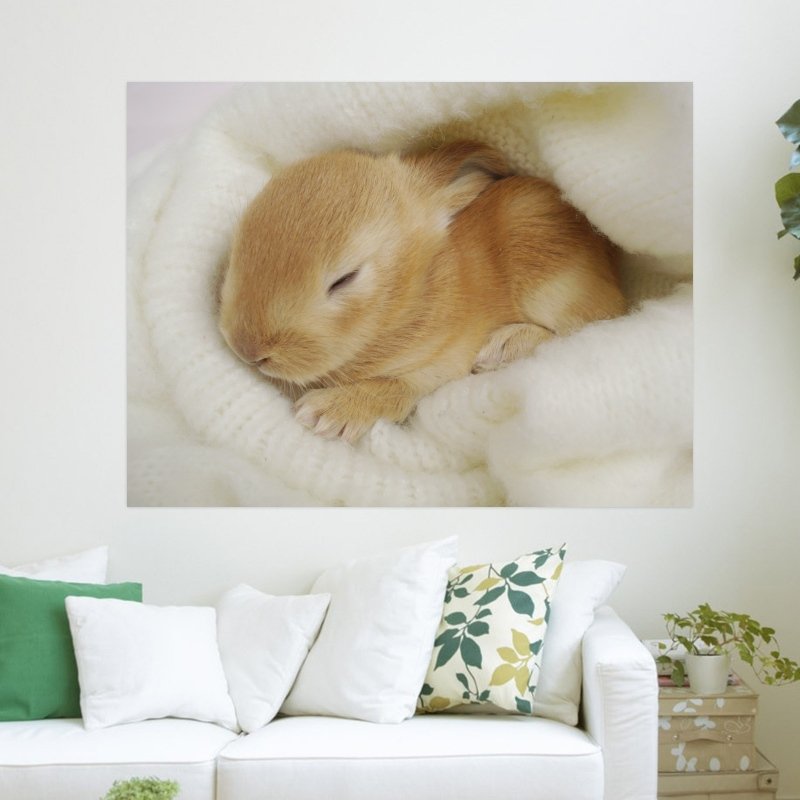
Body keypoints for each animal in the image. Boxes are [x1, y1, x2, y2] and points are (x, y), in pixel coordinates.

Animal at [218, 141, 626, 443]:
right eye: (241, 240)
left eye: (344, 279)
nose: (247, 349)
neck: (409, 295)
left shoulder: (438, 365)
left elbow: (392, 388)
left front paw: (323, 413)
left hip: (549, 278)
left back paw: (502, 347)